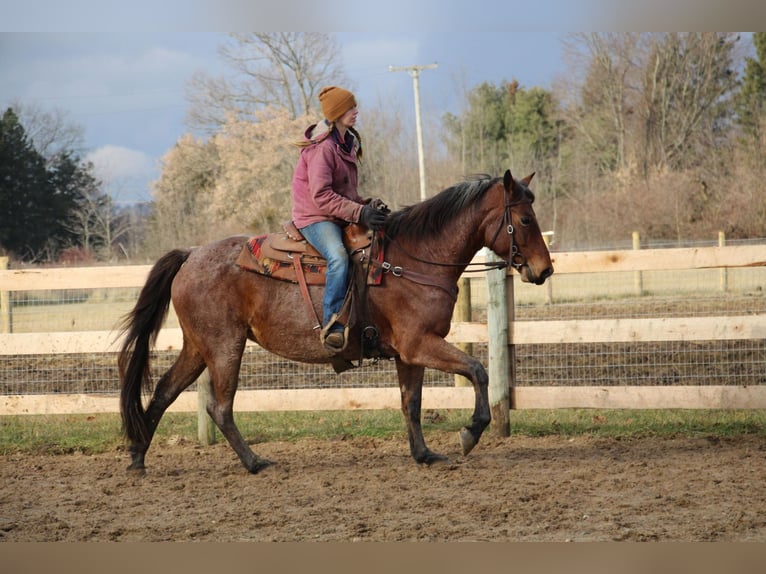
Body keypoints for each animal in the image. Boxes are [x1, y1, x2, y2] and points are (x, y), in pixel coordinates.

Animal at [118, 169, 552, 474]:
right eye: (525, 220)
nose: (544, 270)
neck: (413, 259)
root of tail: (190, 255)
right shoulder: (420, 344)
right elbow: (477, 370)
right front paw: (471, 432)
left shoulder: (408, 355)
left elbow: (411, 403)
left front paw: (424, 454)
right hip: (225, 347)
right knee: (219, 408)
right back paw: (255, 462)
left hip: (198, 347)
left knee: (164, 391)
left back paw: (138, 457)